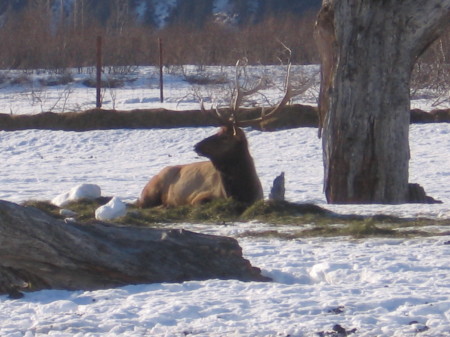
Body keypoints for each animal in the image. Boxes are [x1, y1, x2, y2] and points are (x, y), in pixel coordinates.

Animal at [137, 60, 298, 207]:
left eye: (225, 137)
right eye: (217, 131)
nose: (196, 146)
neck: (241, 192)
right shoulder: (199, 196)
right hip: (152, 188)